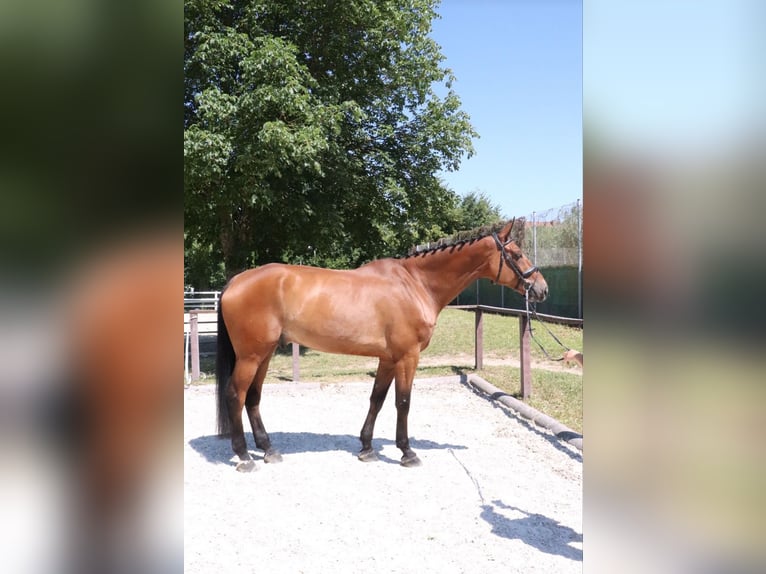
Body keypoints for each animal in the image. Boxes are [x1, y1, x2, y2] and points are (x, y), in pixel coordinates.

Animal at [216, 219, 548, 472]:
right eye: (517, 253)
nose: (541, 289)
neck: (416, 284)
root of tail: (235, 282)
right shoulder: (407, 357)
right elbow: (403, 402)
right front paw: (407, 452)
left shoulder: (388, 359)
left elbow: (377, 399)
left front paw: (366, 448)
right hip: (251, 356)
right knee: (235, 395)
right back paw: (244, 456)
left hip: (264, 354)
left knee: (253, 398)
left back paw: (268, 449)